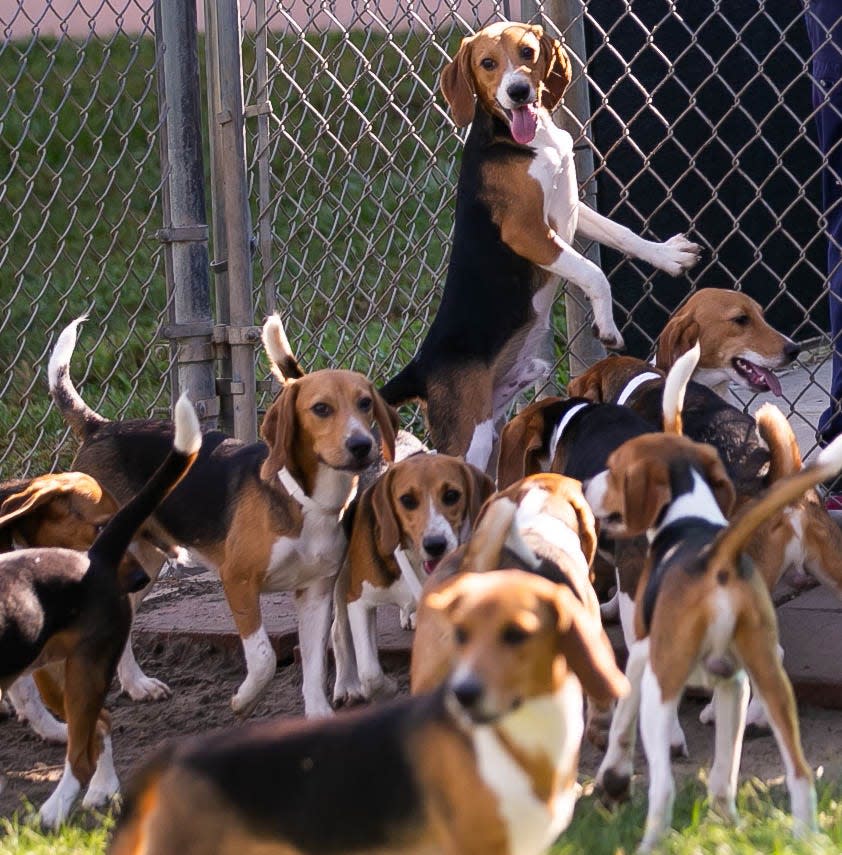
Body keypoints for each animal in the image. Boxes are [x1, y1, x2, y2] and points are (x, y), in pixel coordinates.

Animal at [49, 314, 398, 716]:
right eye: (321, 408)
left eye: (365, 403)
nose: (362, 445)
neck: (306, 499)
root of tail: (100, 427)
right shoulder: (238, 581)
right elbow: (263, 658)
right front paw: (244, 699)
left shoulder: (315, 591)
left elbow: (314, 667)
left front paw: (319, 714)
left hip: (142, 561)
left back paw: (137, 685)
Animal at [332, 452, 496, 704]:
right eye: (407, 500)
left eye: (451, 495)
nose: (436, 544)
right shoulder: (358, 600)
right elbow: (370, 674)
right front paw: (387, 689)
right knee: (338, 631)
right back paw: (345, 685)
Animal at [378, 20, 696, 472]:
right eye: (488, 63)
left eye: (527, 52)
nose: (518, 91)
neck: (527, 138)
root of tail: (421, 367)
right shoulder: (527, 232)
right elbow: (593, 273)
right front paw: (607, 326)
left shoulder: (573, 207)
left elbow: (623, 234)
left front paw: (667, 255)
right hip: (471, 439)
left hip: (494, 431)